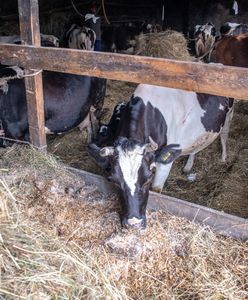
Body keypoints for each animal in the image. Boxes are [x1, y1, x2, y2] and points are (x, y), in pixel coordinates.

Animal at [88, 84, 233, 227]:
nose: (134, 223)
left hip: (228, 114)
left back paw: (223, 158)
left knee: (224, 135)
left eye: (148, 179)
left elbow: (156, 189)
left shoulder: (165, 163)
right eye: (113, 181)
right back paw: (188, 166)